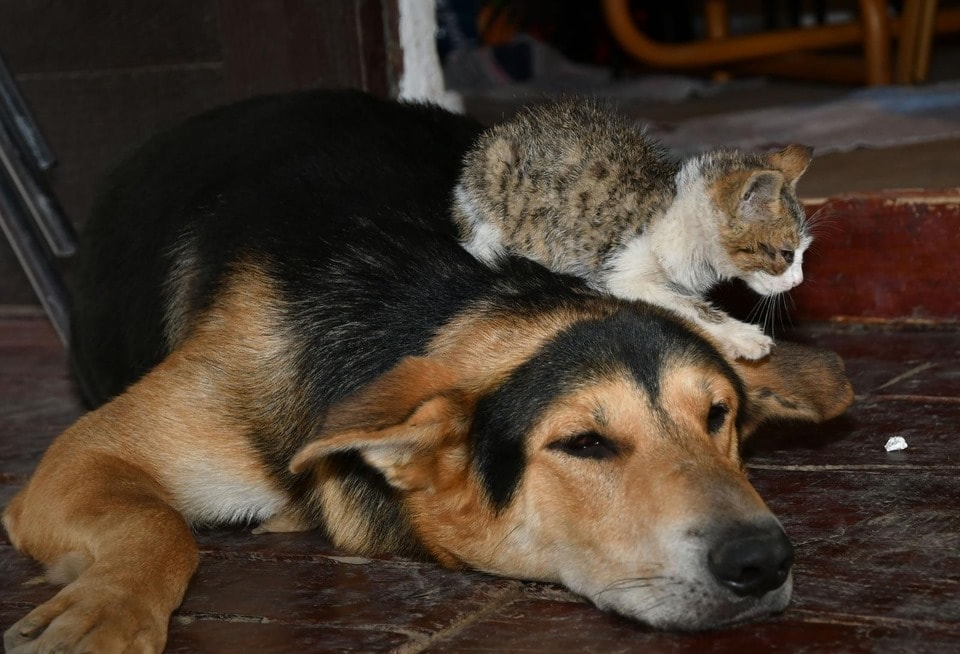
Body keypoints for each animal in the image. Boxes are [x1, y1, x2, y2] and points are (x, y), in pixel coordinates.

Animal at [454, 100, 812, 362]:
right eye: (786, 254)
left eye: (802, 253)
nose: (798, 282)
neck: (680, 214)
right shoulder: (623, 274)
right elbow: (688, 306)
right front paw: (742, 336)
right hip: (492, 187)